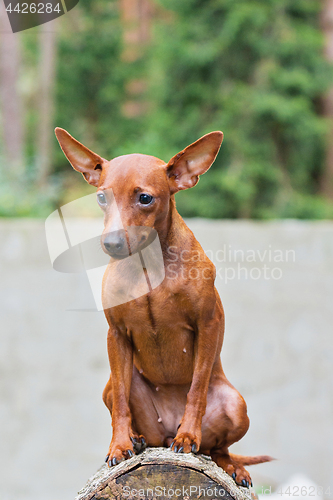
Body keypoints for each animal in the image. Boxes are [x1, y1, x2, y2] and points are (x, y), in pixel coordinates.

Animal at [55, 127, 272, 486]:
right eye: (101, 198)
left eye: (145, 198)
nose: (111, 244)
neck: (148, 266)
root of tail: (165, 431)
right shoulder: (116, 336)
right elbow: (121, 407)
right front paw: (120, 444)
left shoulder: (208, 325)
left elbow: (196, 390)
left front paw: (188, 435)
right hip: (114, 386)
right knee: (125, 405)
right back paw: (138, 439)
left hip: (235, 405)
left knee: (219, 448)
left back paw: (227, 463)